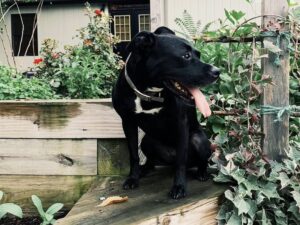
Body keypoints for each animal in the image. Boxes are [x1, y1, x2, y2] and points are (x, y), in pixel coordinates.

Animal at [111, 26, 219, 199]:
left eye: (199, 54)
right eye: (186, 56)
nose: (217, 71)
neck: (148, 92)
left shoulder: (180, 123)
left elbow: (181, 159)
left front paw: (179, 186)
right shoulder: (127, 122)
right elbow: (133, 154)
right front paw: (133, 178)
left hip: (199, 140)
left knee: (198, 160)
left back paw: (202, 173)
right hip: (147, 141)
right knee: (151, 159)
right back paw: (144, 169)